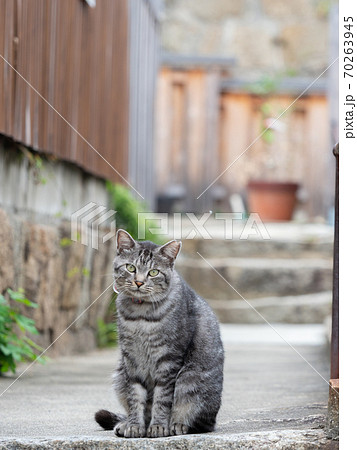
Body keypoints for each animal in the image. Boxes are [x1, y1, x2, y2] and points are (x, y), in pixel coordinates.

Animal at [94, 230, 222, 438]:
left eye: (153, 272)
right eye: (130, 267)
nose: (139, 282)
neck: (140, 314)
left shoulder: (169, 359)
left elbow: (162, 399)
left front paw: (159, 426)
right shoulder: (131, 359)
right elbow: (135, 397)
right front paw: (134, 426)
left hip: (190, 380)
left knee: (196, 420)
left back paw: (178, 425)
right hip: (120, 374)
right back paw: (124, 424)